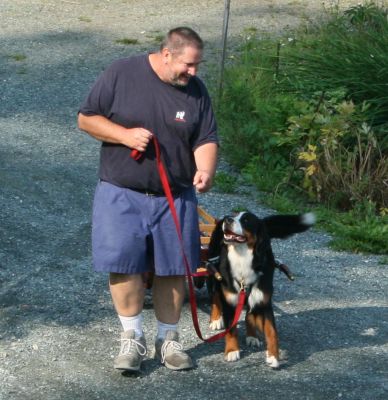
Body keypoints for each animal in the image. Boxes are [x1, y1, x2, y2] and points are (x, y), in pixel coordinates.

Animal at [208, 211, 314, 368]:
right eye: (234, 215)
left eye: (246, 220)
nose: (228, 219)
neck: (242, 258)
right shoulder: (230, 300)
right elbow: (231, 329)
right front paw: (232, 351)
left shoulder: (264, 301)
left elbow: (272, 332)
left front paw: (273, 356)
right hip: (214, 271)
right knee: (215, 294)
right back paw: (215, 319)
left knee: (249, 313)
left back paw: (252, 336)